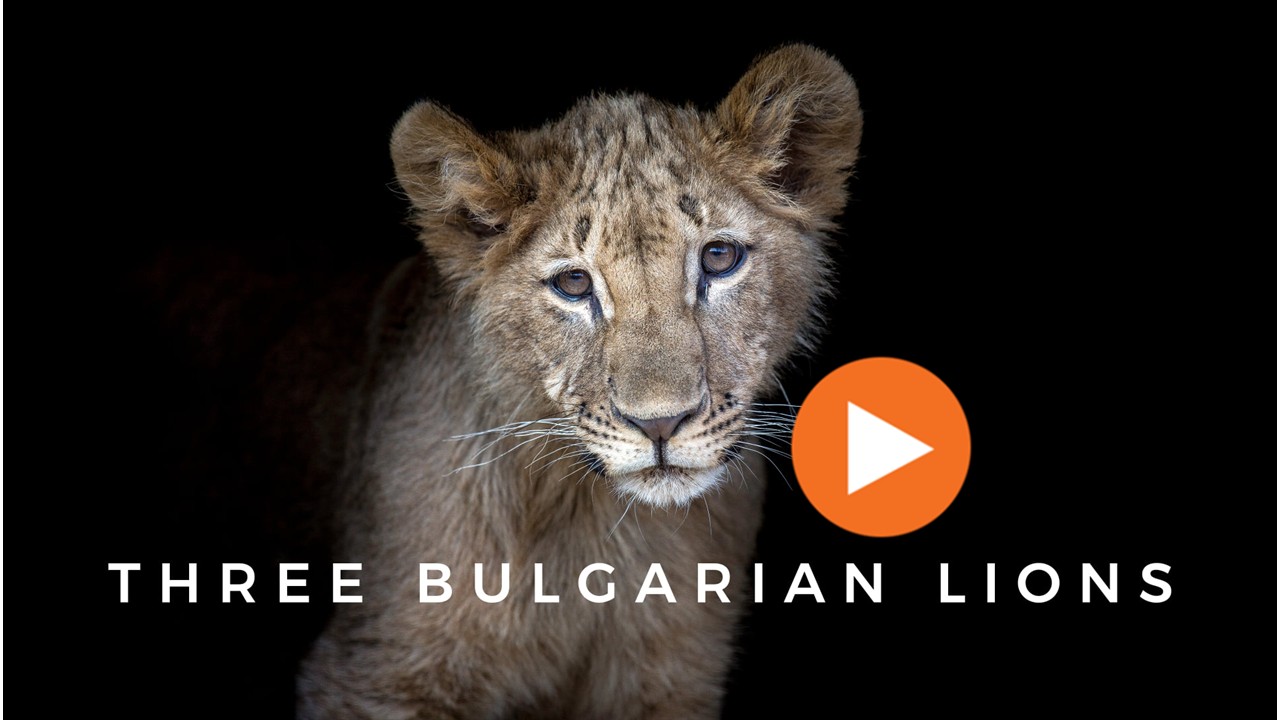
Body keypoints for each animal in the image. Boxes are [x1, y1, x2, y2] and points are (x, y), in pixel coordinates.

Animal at [296, 44, 862, 719]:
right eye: (573, 285)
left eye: (719, 259)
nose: (659, 424)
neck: (589, 516)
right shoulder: (374, 671)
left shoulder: (675, 676)